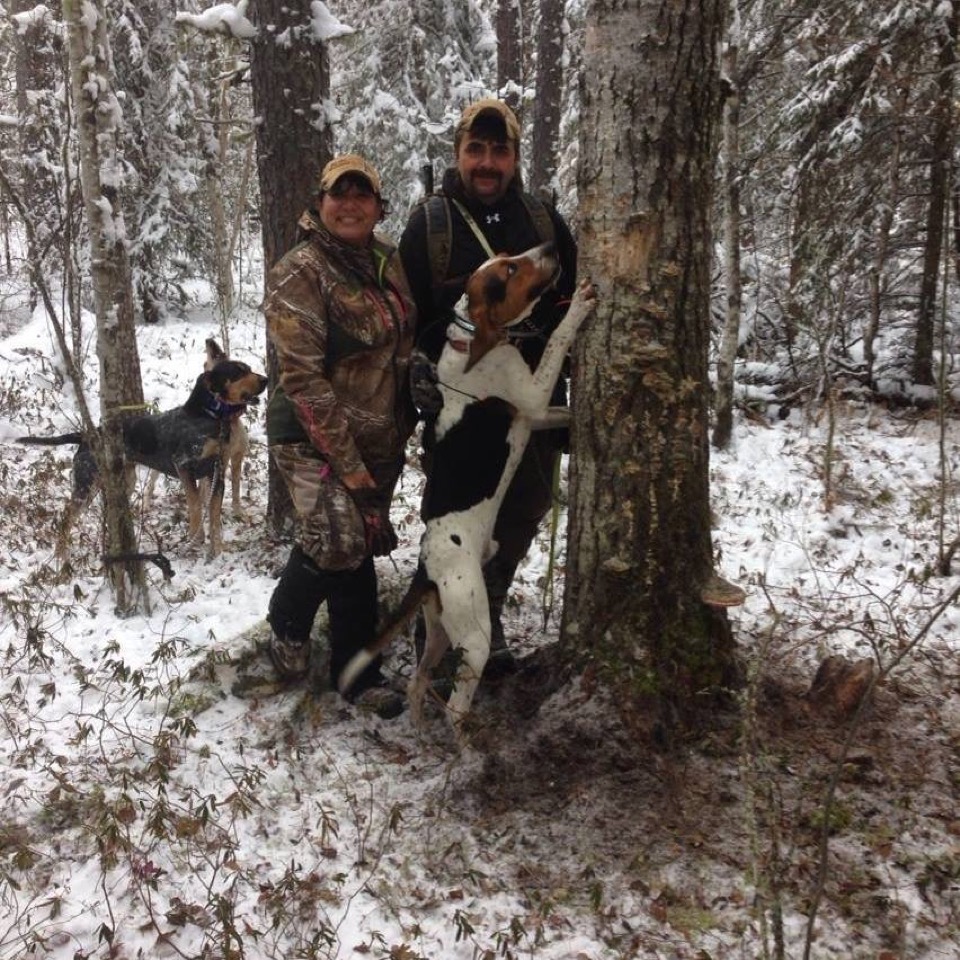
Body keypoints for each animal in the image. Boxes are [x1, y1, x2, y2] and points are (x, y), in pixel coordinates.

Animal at [19, 346, 266, 560]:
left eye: (248, 368)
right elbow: (195, 504)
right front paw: (195, 538)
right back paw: (61, 558)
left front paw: (218, 550)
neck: (211, 418)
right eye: (238, 371)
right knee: (66, 518)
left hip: (123, 482)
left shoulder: (217, 473)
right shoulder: (184, 466)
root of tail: (86, 435)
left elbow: (214, 515)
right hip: (86, 484)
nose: (266, 379)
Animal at [338, 240, 592, 744]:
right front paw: (579, 305)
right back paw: (466, 748)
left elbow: (560, 412)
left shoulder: (537, 413)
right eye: (510, 270)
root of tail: (425, 570)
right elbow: (557, 340)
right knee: (455, 707)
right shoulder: (532, 394)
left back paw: (420, 732)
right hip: (474, 634)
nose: (552, 246)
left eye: (511, 256)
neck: (471, 336)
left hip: (441, 627)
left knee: (418, 680)